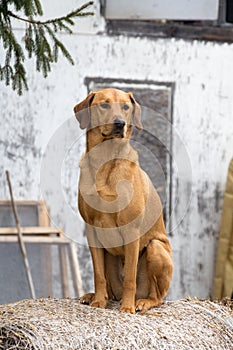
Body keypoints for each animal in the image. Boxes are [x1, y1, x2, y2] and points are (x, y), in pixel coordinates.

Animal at [73, 89, 172, 314]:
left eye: (126, 107)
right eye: (104, 105)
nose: (120, 123)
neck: (105, 160)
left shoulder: (131, 230)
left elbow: (130, 278)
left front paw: (127, 307)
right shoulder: (91, 229)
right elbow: (98, 274)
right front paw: (98, 301)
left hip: (156, 248)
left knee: (158, 296)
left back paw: (142, 302)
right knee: (109, 285)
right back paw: (95, 296)